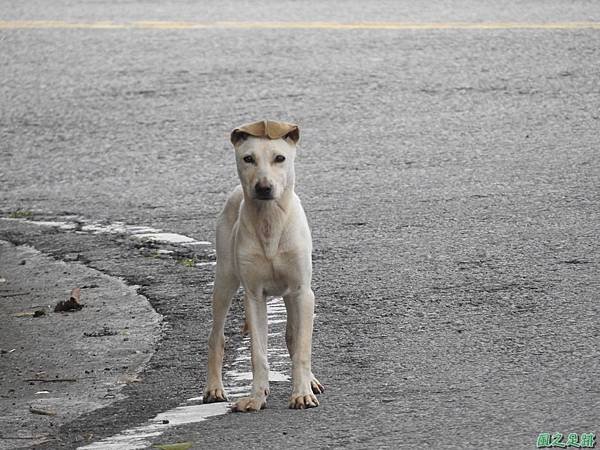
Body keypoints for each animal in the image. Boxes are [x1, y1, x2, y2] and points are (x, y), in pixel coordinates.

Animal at [202, 119, 324, 412]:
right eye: (248, 159)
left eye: (280, 158)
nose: (263, 187)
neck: (270, 222)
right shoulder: (254, 296)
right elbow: (258, 353)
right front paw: (257, 397)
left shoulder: (303, 292)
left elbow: (302, 348)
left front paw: (302, 393)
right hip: (224, 279)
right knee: (216, 337)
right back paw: (214, 388)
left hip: (291, 296)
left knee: (293, 337)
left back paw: (311, 381)